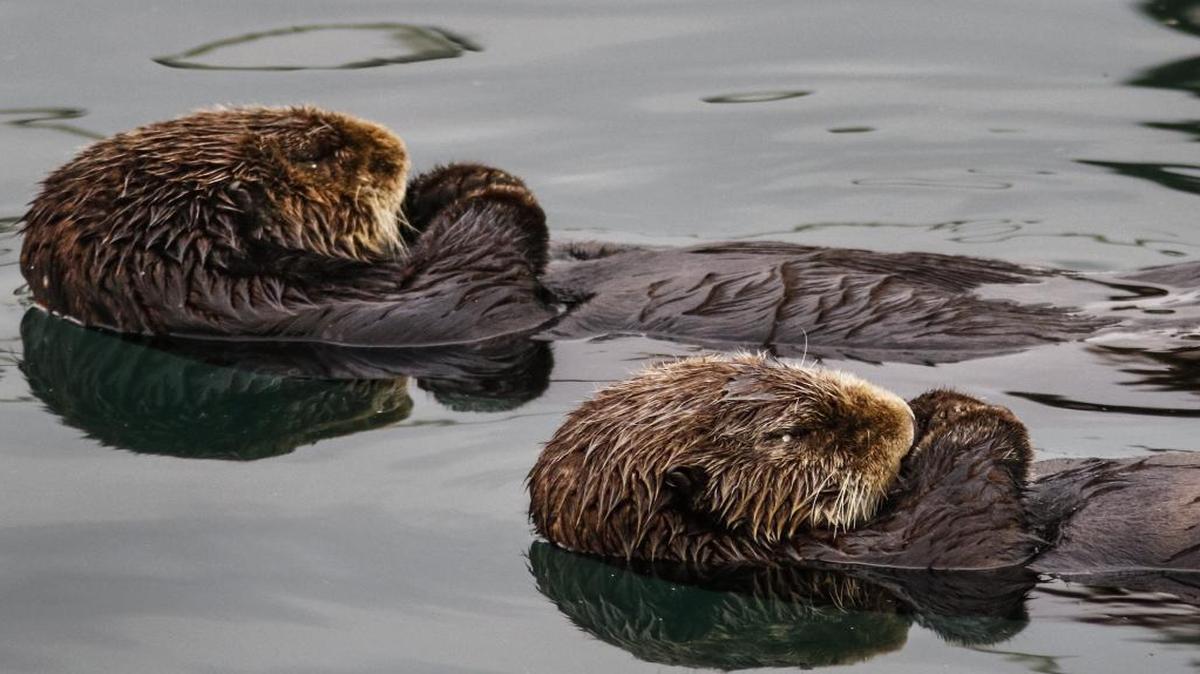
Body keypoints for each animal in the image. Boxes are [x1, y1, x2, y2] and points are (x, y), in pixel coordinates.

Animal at [527, 354, 1200, 573]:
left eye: (778, 361)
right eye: (792, 433)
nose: (899, 416)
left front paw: (936, 405)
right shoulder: (925, 554)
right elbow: (976, 517)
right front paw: (960, 416)